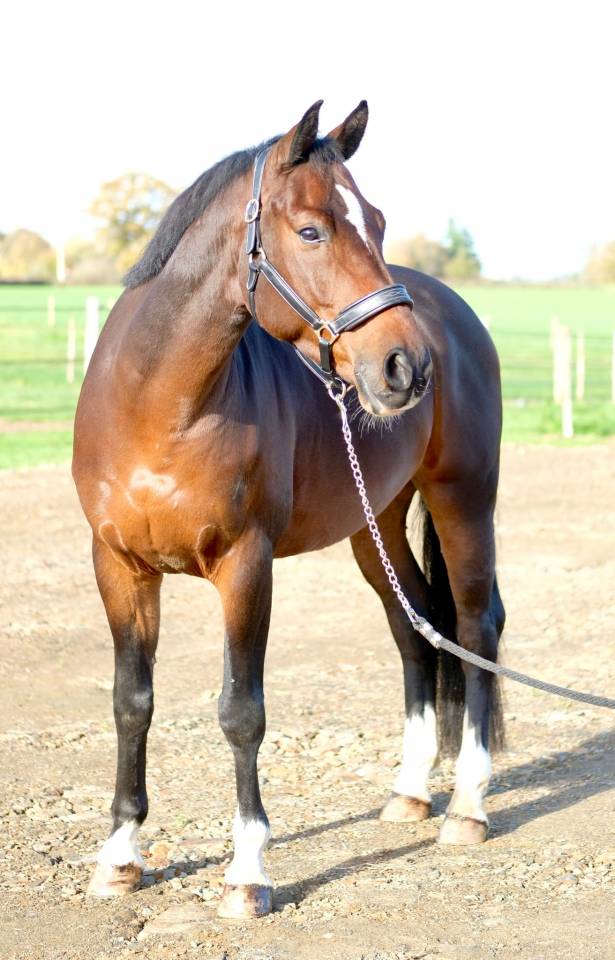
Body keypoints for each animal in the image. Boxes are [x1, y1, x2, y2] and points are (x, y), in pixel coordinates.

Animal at [72, 99, 505, 920]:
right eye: (311, 231)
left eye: (377, 221)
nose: (407, 366)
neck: (158, 407)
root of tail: (455, 317)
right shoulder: (118, 567)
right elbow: (130, 702)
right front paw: (119, 857)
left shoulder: (246, 565)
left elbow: (242, 711)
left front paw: (247, 874)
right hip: (376, 526)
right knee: (415, 628)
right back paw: (409, 793)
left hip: (464, 498)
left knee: (473, 625)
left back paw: (466, 806)